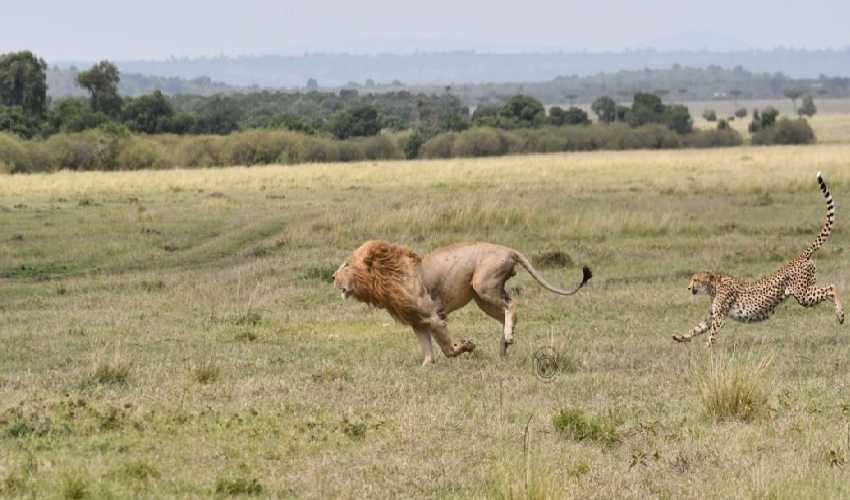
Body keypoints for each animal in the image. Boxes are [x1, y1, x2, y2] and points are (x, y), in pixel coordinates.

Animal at [332, 240, 588, 366]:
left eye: (346, 265)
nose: (332, 277)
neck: (385, 276)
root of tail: (509, 250)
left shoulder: (433, 316)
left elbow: (447, 349)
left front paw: (466, 346)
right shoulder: (418, 322)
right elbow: (428, 353)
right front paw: (425, 367)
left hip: (483, 286)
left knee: (512, 305)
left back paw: (507, 337)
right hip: (482, 298)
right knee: (508, 311)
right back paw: (503, 348)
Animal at [676, 174, 840, 346]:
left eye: (695, 279)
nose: (689, 288)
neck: (713, 286)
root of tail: (800, 256)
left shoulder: (719, 317)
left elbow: (711, 335)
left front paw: (707, 348)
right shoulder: (711, 316)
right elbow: (696, 329)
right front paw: (679, 337)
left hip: (803, 295)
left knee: (831, 288)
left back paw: (840, 315)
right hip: (807, 290)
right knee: (828, 290)